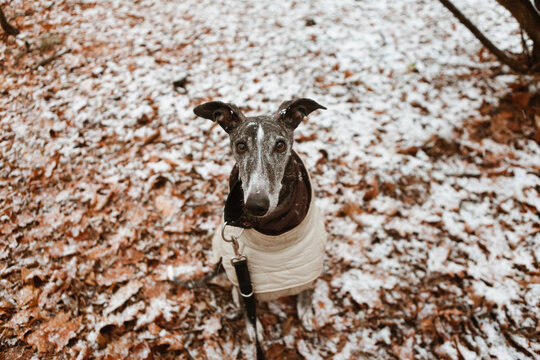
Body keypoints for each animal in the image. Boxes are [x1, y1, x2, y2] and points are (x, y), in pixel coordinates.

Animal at [194, 97, 330, 334]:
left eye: (280, 145)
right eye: (240, 146)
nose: (256, 205)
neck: (274, 231)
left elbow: (306, 288)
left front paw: (306, 311)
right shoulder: (241, 275)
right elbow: (245, 300)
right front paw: (252, 326)